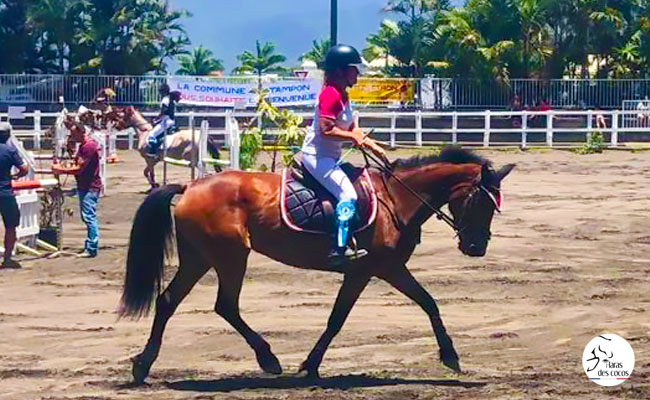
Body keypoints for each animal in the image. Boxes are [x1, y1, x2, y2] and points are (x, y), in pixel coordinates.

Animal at [117, 147, 512, 384]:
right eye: (480, 202)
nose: (475, 248)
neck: (396, 200)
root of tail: (191, 187)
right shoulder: (371, 270)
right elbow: (340, 318)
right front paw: (309, 366)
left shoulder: (383, 270)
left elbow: (427, 303)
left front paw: (450, 355)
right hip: (230, 256)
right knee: (225, 305)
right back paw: (268, 359)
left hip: (200, 257)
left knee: (169, 301)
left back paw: (142, 364)